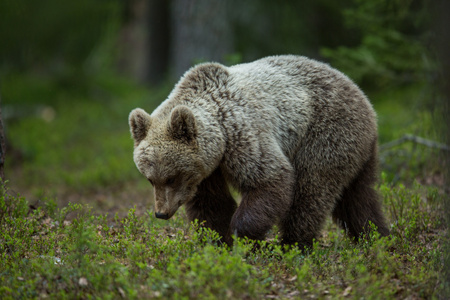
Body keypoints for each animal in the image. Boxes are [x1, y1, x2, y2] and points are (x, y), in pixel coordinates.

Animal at [128, 55, 388, 247]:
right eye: (150, 179)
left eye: (171, 177)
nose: (161, 213)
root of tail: (360, 93)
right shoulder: (206, 170)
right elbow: (212, 203)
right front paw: (217, 240)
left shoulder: (243, 134)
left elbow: (268, 179)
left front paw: (243, 235)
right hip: (359, 150)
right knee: (359, 197)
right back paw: (376, 237)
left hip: (325, 133)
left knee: (311, 190)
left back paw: (293, 244)